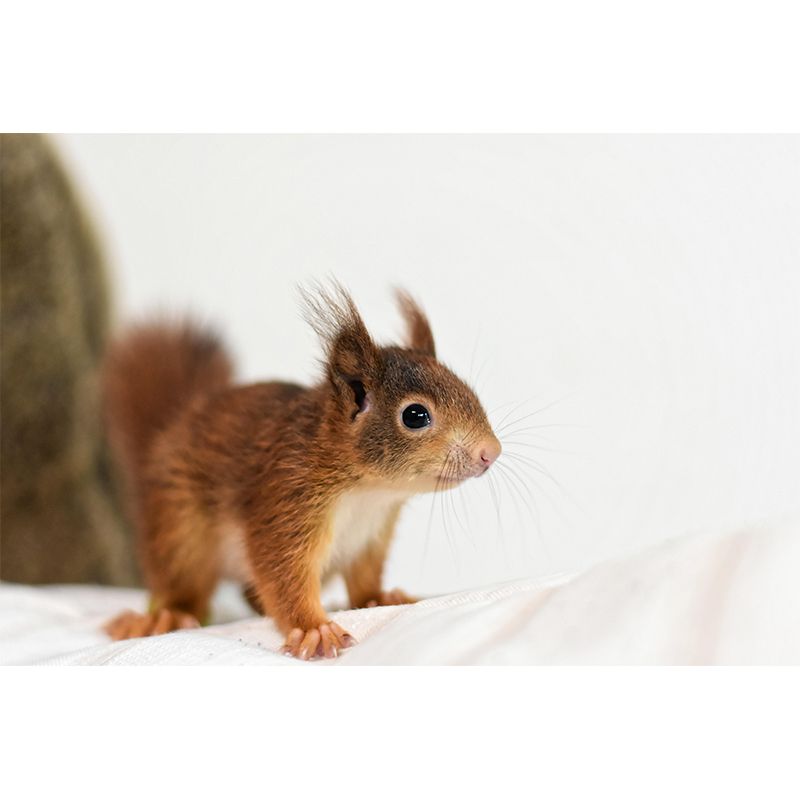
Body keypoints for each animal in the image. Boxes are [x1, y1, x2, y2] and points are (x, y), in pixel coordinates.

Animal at [103, 284, 501, 659]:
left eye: (465, 388)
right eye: (415, 415)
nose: (491, 453)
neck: (369, 491)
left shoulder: (370, 535)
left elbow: (364, 577)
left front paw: (379, 598)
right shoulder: (286, 498)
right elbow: (282, 575)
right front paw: (314, 629)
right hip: (179, 530)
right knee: (183, 587)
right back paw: (164, 615)